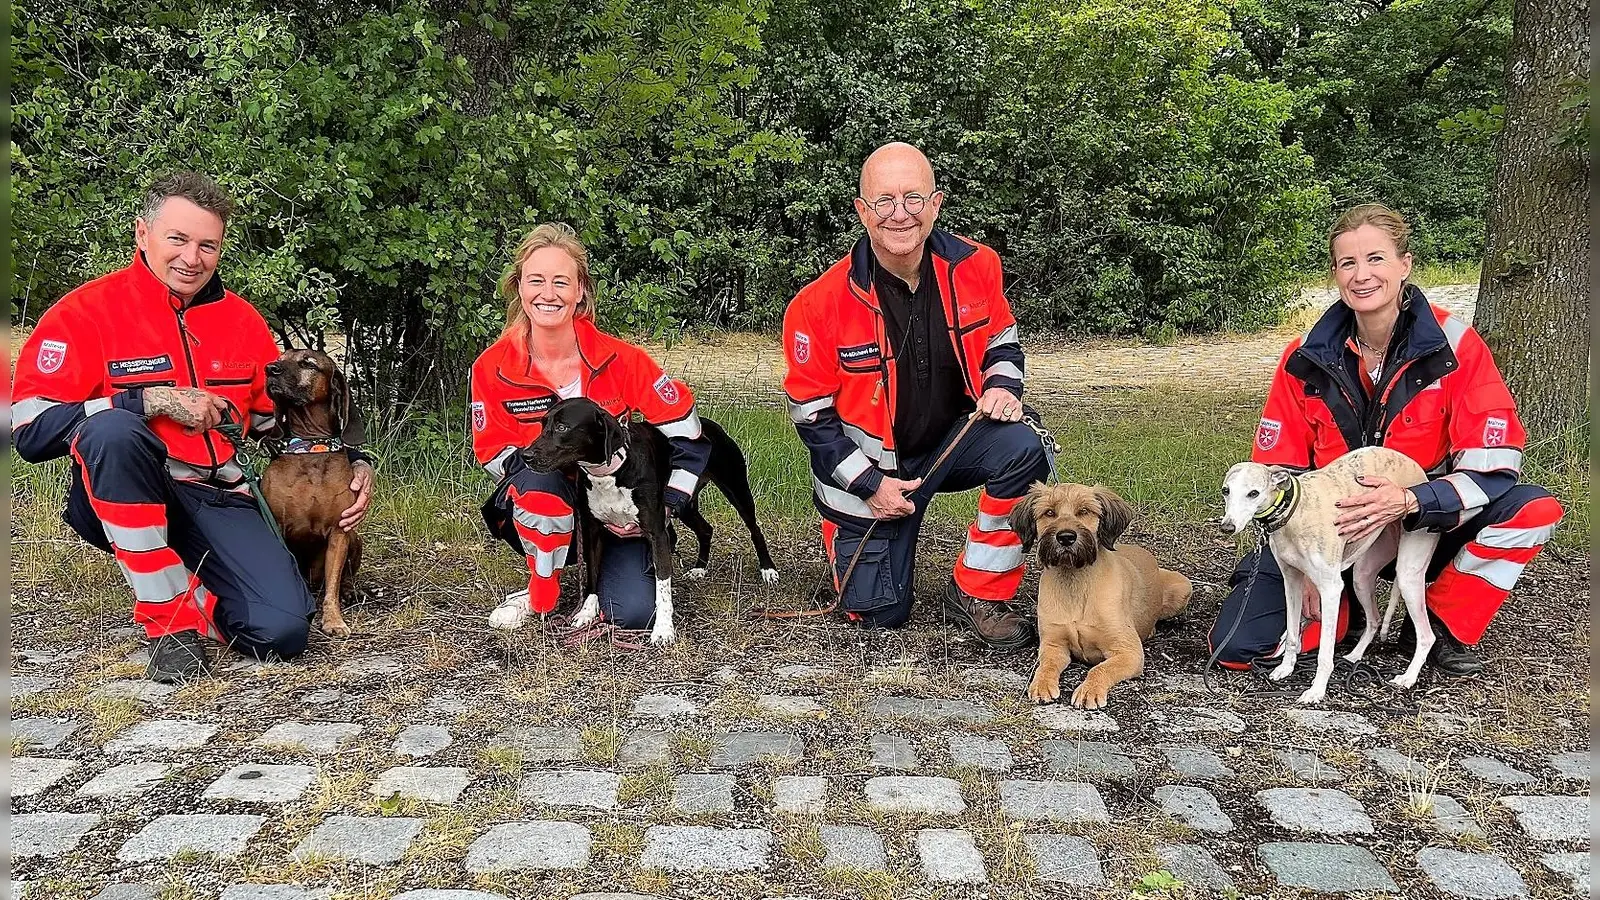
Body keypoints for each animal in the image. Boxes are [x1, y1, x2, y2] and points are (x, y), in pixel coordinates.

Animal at [521, 395, 777, 640]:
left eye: (562, 427)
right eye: (543, 424)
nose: (526, 456)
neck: (612, 472)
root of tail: (709, 425)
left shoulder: (657, 533)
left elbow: (662, 587)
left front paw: (663, 629)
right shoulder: (593, 532)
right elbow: (592, 576)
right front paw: (586, 612)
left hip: (736, 490)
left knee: (755, 530)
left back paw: (767, 569)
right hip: (683, 503)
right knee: (706, 529)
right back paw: (699, 568)